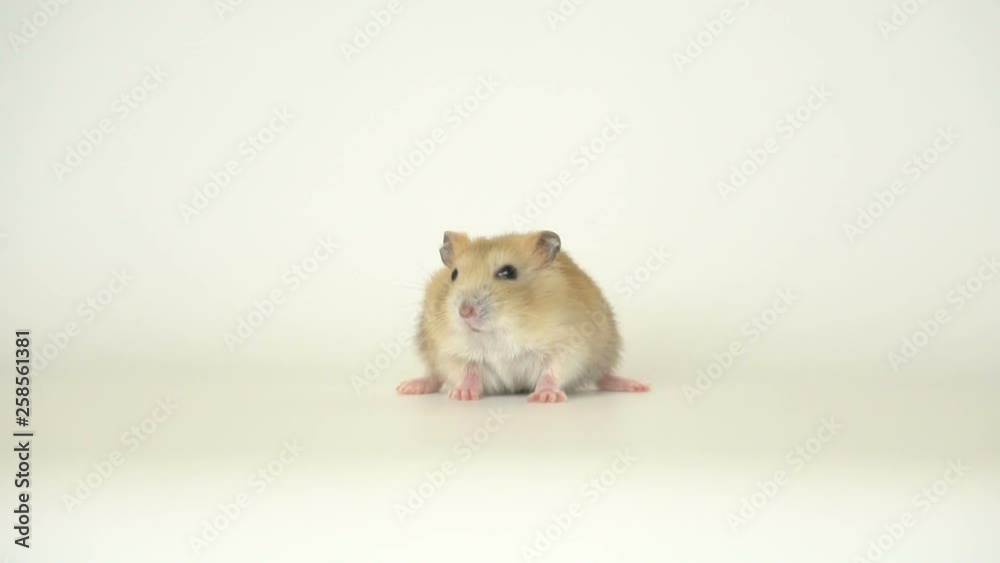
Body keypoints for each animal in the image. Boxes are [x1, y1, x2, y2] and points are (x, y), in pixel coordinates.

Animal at [396, 230, 650, 403]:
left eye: (508, 272)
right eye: (454, 274)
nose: (465, 312)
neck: (500, 331)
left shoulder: (569, 346)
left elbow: (551, 373)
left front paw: (545, 397)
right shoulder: (450, 352)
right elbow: (466, 372)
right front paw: (461, 394)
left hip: (604, 351)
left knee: (602, 375)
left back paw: (637, 386)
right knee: (434, 375)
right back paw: (408, 387)